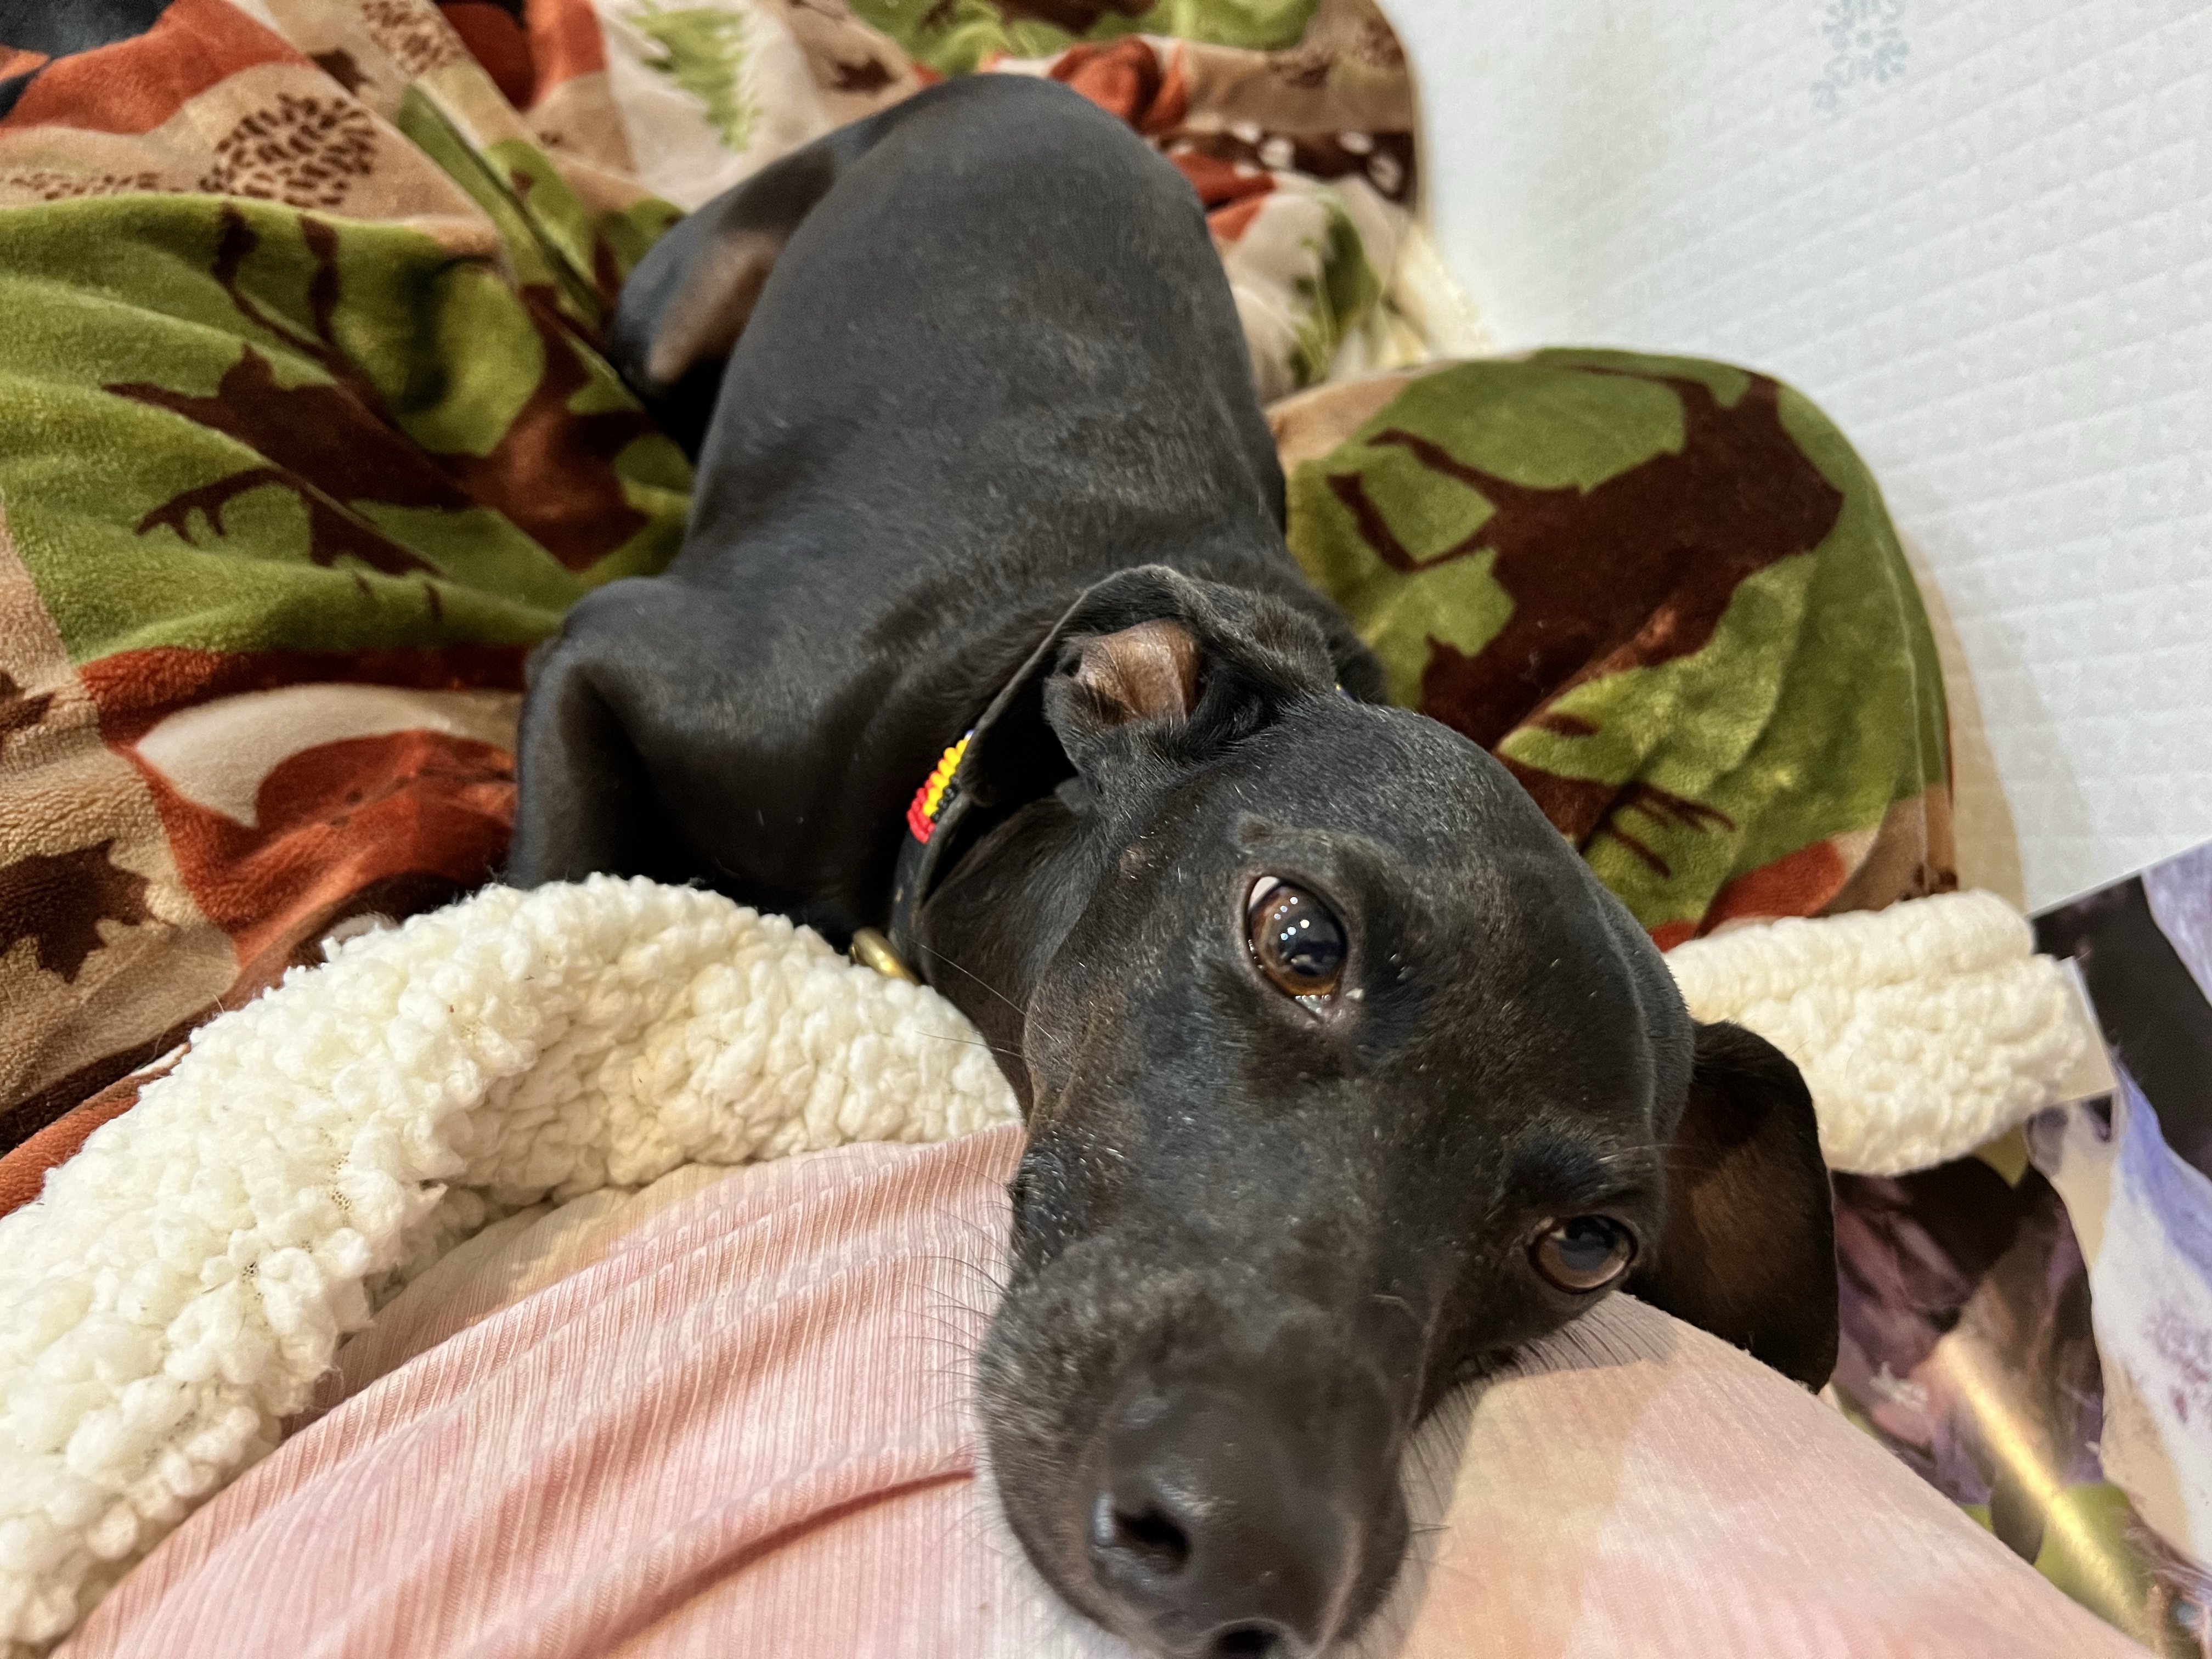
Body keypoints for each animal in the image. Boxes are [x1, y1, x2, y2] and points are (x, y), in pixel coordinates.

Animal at [509, 74, 1838, 1659]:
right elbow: (535, 907)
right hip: (671, 311)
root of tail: (1037, 84)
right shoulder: (609, 656)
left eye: (1590, 1247)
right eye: (1301, 939)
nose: (1246, 1569)